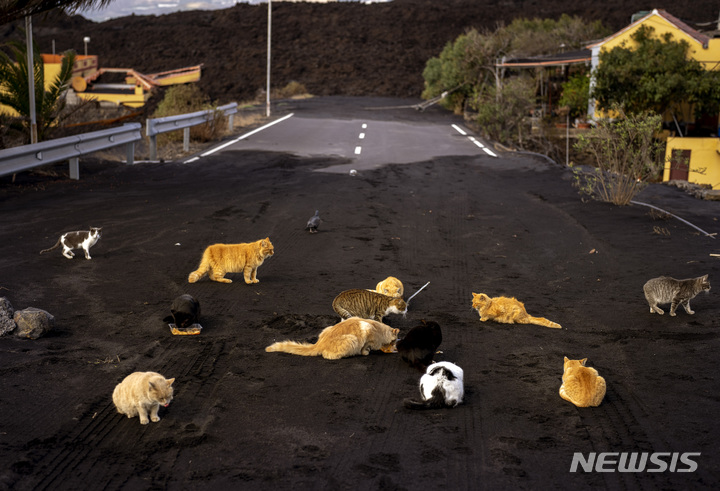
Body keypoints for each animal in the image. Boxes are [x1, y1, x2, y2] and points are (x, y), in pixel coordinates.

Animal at [264, 318, 400, 360]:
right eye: (394, 341)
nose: (394, 347)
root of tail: (318, 343)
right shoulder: (367, 331)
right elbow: (365, 348)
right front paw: (366, 352)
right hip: (352, 339)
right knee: (327, 355)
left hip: (327, 328)